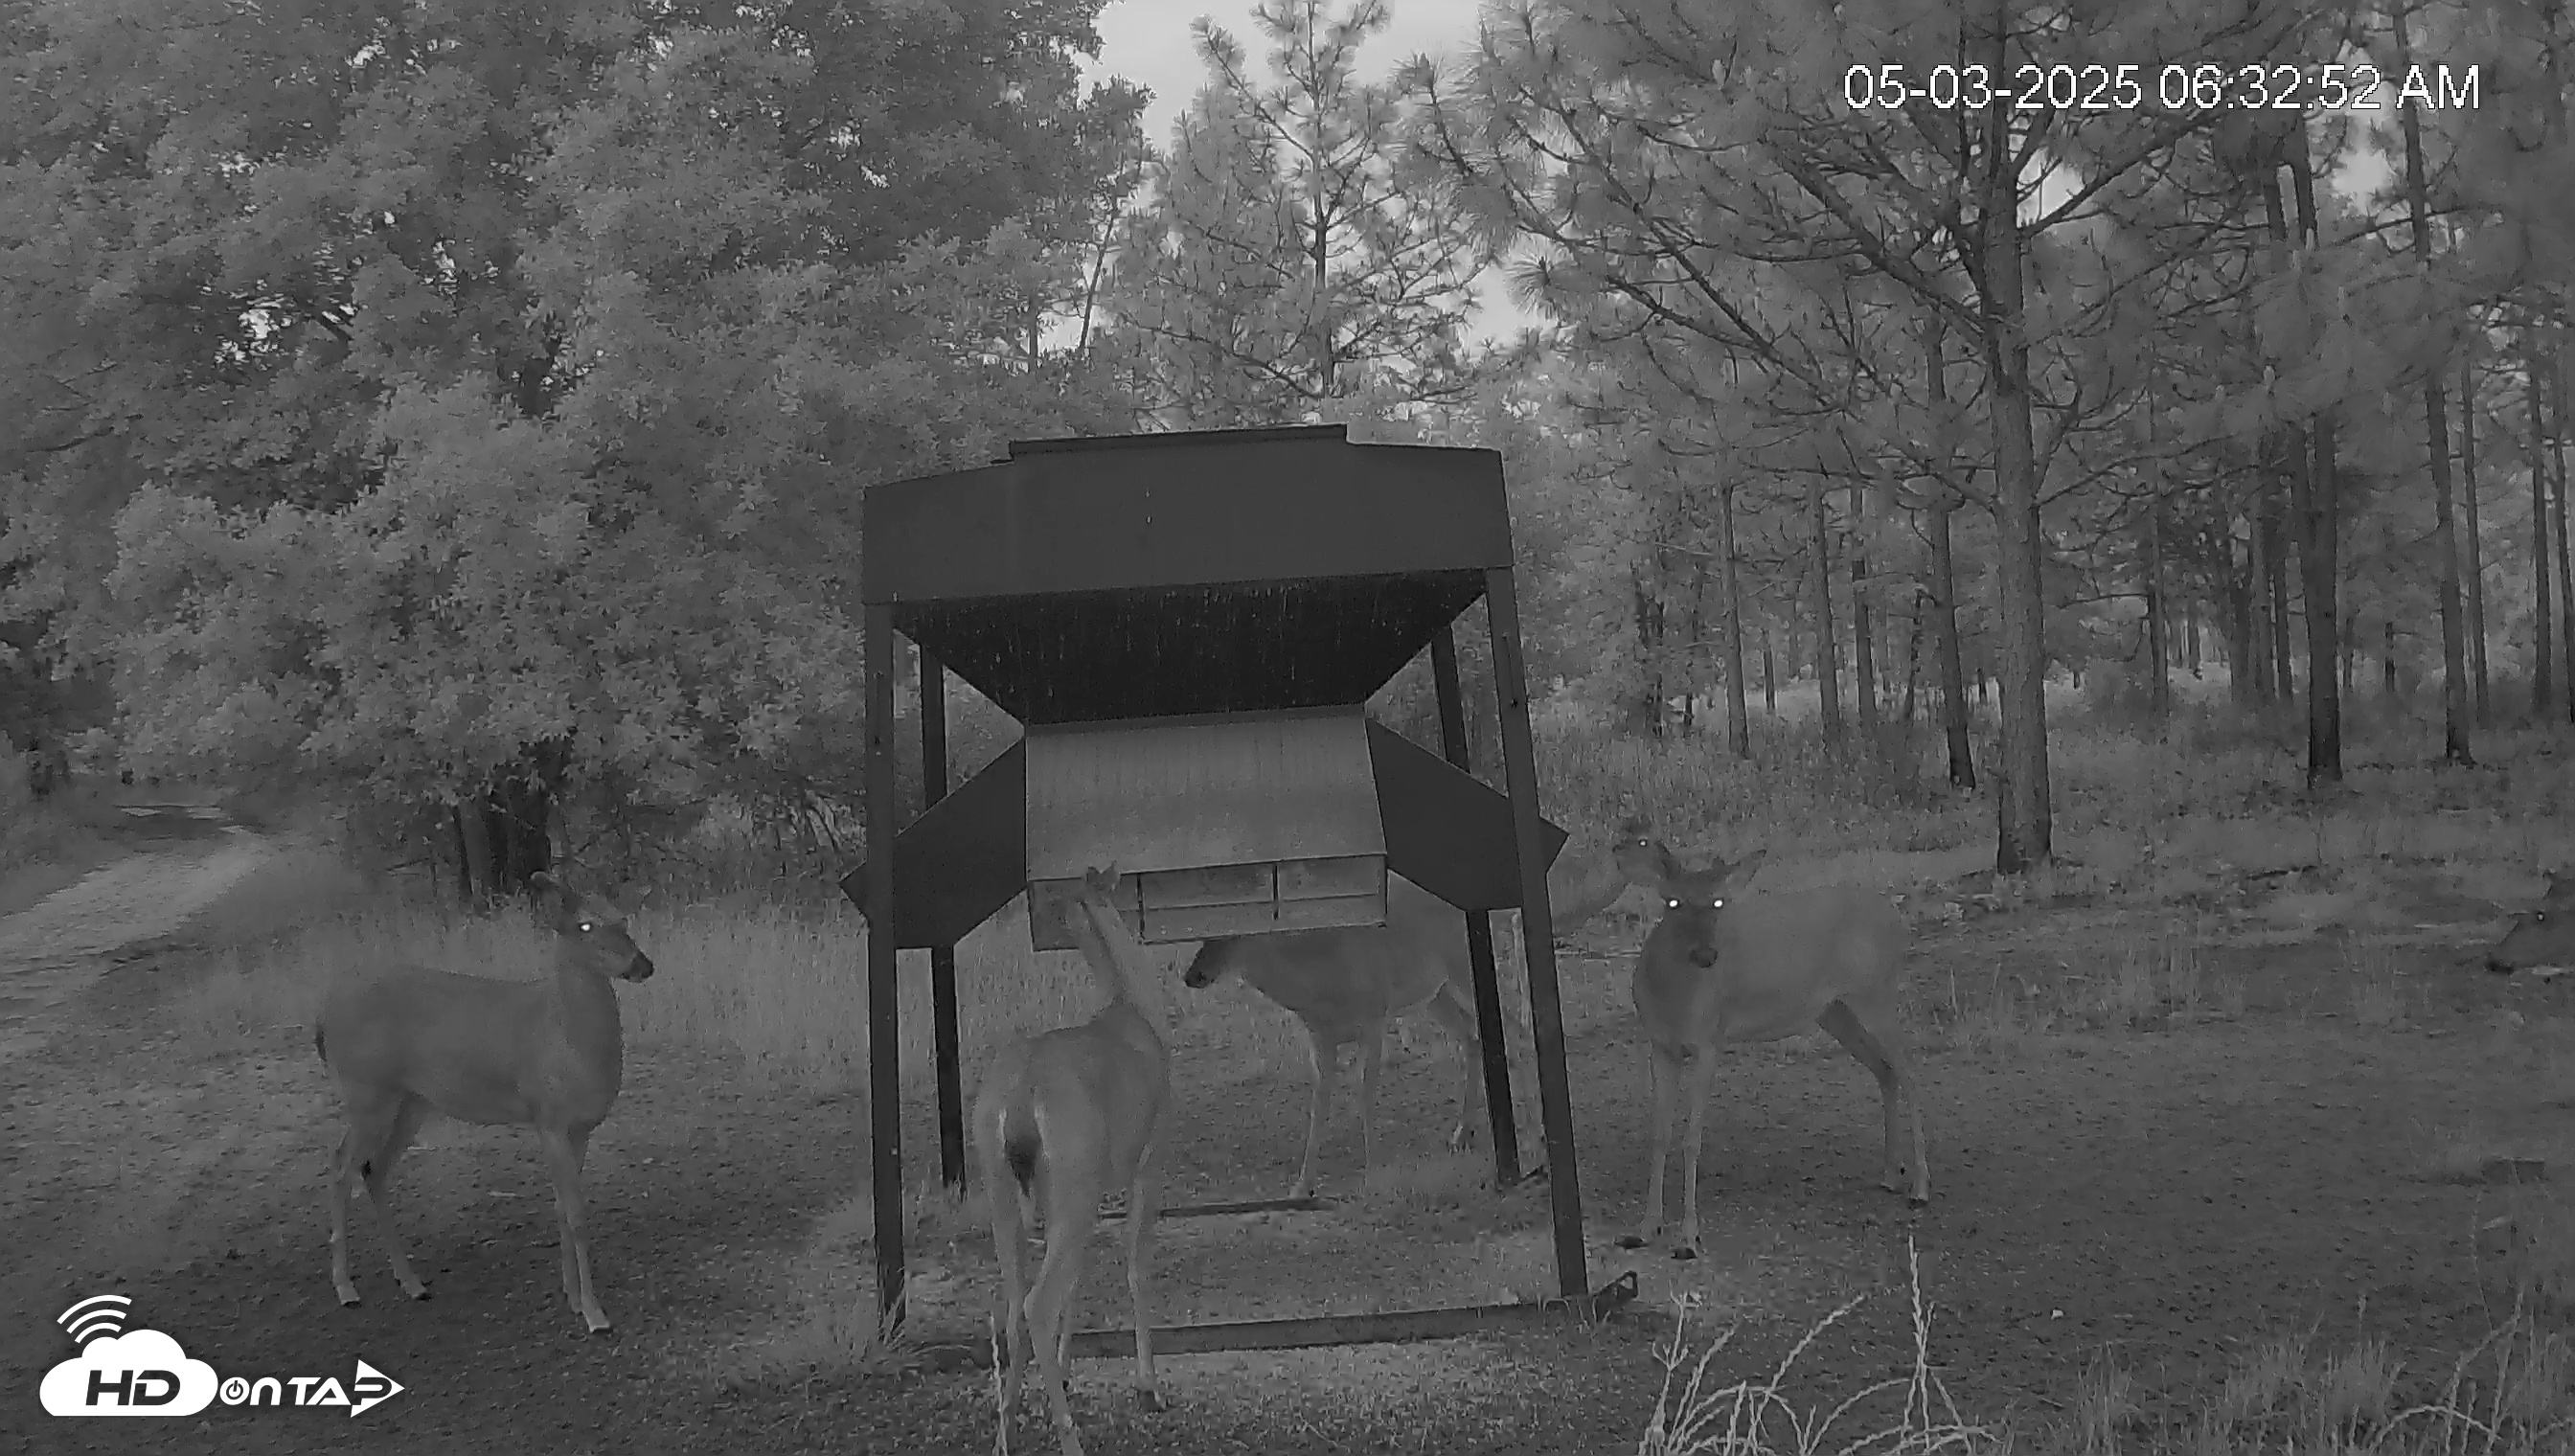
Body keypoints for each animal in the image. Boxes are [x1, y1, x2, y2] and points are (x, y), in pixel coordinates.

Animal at [313, 871, 655, 1336]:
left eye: (623, 918)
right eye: (585, 924)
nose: (643, 965)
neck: (565, 1037)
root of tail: (322, 1017)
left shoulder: (578, 1128)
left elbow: (561, 1208)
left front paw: (571, 1296)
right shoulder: (547, 1116)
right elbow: (577, 1215)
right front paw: (594, 1313)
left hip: (410, 1102)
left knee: (374, 1169)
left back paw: (412, 1283)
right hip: (366, 1091)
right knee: (340, 1167)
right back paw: (346, 1288)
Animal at [973, 864, 1171, 1456]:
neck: (1134, 1004)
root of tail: (1019, 1097)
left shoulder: (1091, 1186)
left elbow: (1082, 1275)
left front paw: (1063, 1370)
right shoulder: (1148, 1158)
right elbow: (1134, 1262)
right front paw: (1149, 1386)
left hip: (1003, 1187)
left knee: (1014, 1303)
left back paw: (1007, 1426)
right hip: (1073, 1176)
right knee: (1037, 1301)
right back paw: (1069, 1437)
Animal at [1180, 817, 1653, 1198]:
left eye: (1234, 931)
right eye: (1201, 931)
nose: (1193, 975)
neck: (1320, 981)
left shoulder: (1374, 1015)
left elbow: (1365, 1088)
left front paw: (1373, 1170)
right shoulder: (1319, 1035)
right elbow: (1320, 1099)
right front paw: (1301, 1186)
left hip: (1463, 970)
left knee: (1514, 1031)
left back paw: (1535, 1141)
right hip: (1435, 993)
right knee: (1473, 1036)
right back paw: (1461, 1134)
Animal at [1618, 838, 1928, 1260]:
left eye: (1718, 902)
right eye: (1672, 901)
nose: (1706, 955)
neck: (1673, 1001)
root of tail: (1898, 920)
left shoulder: (1709, 1041)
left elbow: (1691, 1138)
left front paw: (1688, 1238)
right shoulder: (1660, 1046)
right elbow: (1660, 1134)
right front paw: (1645, 1229)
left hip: (1876, 994)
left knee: (1909, 1072)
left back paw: (1920, 1188)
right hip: (1836, 1012)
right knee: (1886, 1070)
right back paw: (1889, 1175)